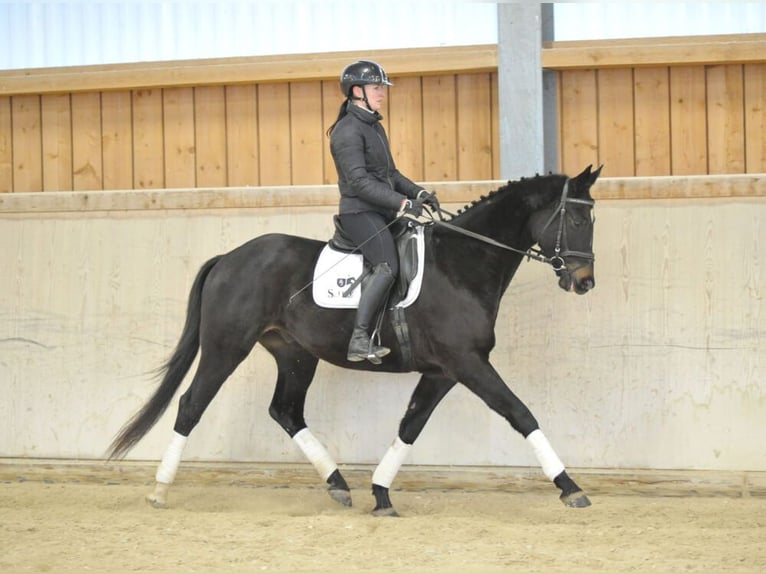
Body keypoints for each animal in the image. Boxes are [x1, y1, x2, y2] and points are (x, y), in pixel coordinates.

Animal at [108, 163, 604, 516]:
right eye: (578, 219)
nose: (584, 282)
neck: (460, 263)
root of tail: (230, 257)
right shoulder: (468, 363)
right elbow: (520, 413)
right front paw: (571, 488)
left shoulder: (443, 371)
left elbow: (410, 425)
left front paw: (381, 494)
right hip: (226, 347)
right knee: (191, 405)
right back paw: (160, 490)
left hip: (294, 355)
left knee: (285, 411)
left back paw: (338, 485)